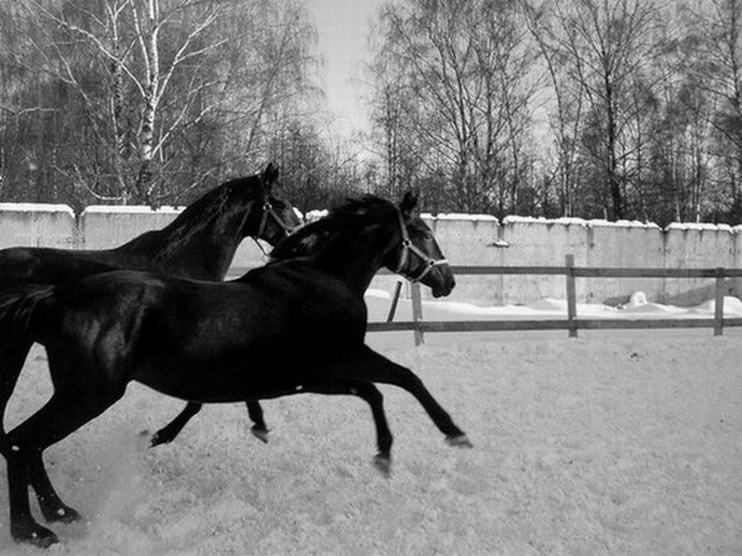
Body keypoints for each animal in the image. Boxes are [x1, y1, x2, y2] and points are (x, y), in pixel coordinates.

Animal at [0, 191, 470, 548]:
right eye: (425, 233)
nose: (448, 281)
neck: (321, 279)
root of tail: (50, 298)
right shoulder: (317, 372)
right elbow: (382, 387)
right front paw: (404, 448)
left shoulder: (325, 367)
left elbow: (399, 379)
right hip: (87, 394)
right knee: (22, 442)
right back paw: (33, 531)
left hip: (76, 392)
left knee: (24, 443)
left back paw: (59, 513)